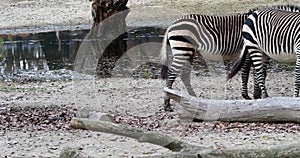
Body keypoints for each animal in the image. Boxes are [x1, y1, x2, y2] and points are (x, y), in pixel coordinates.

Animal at [162, 4, 300, 111]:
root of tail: (172, 25)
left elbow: (257, 73)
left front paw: (257, 95)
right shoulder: (248, 51)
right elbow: (246, 73)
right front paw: (248, 96)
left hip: (189, 52)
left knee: (184, 75)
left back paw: (193, 98)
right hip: (183, 50)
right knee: (172, 73)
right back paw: (167, 104)